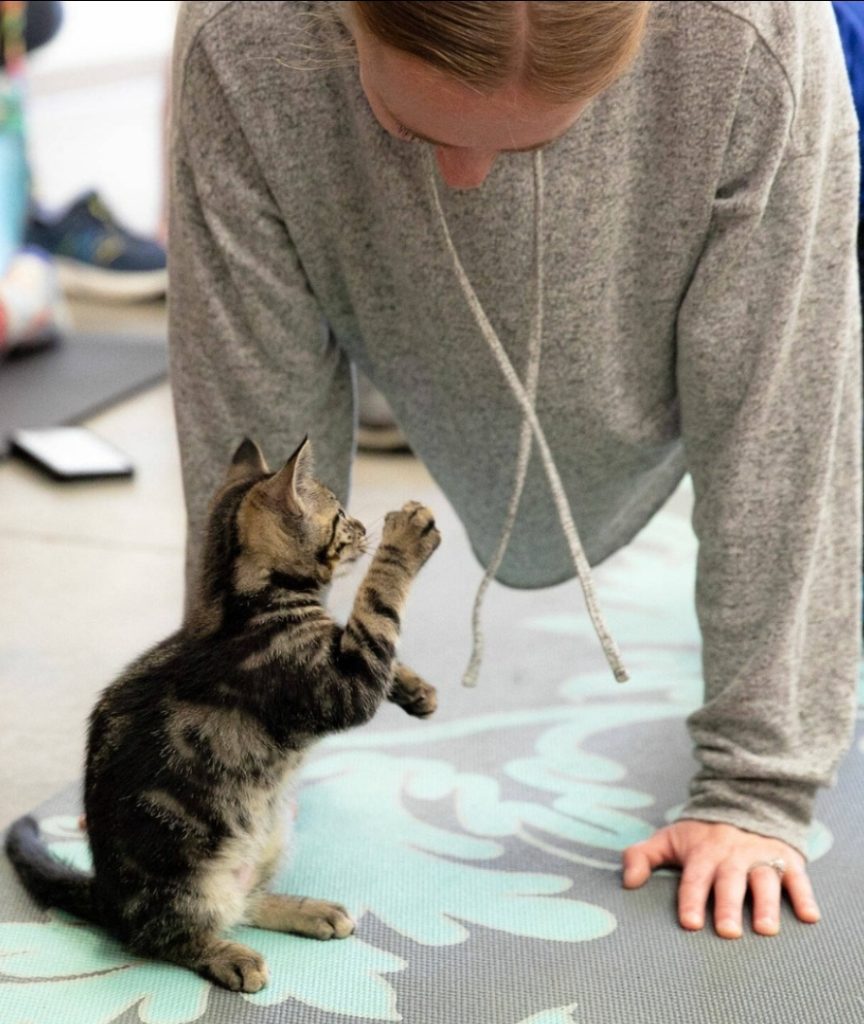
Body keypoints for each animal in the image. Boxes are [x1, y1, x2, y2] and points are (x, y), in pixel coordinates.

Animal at [5, 438, 438, 991]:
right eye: (341, 518)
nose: (363, 526)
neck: (235, 604)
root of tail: (105, 894)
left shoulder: (344, 657)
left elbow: (365, 634)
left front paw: (415, 688)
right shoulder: (344, 683)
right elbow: (376, 612)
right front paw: (405, 540)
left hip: (269, 838)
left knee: (244, 903)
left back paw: (306, 910)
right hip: (187, 879)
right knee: (160, 936)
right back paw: (229, 955)